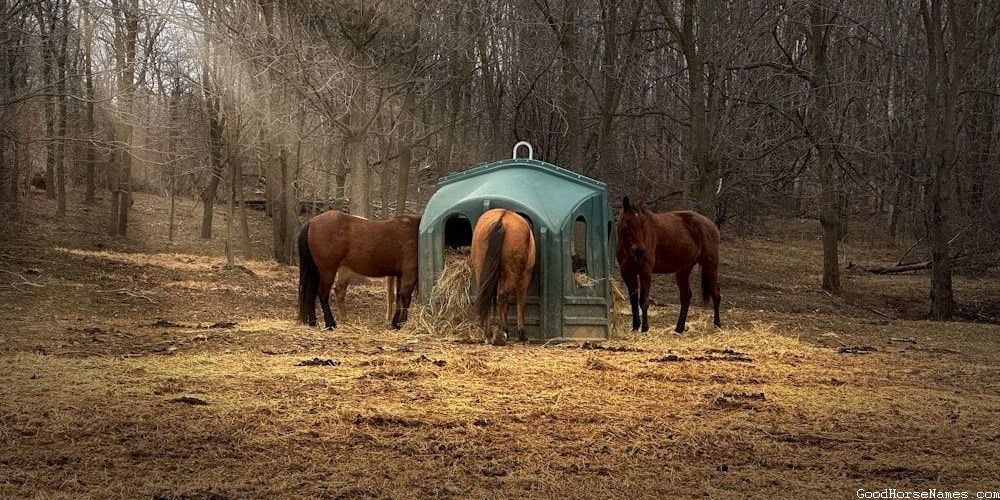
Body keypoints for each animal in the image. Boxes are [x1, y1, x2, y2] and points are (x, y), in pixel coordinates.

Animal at [472, 208, 536, 346]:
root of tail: (501, 219)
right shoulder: (525, 276)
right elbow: (520, 302)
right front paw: (522, 334)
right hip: (513, 272)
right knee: (503, 295)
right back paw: (503, 333)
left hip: (480, 269)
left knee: (486, 297)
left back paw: (488, 335)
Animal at [616, 197, 721, 333]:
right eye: (627, 221)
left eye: (642, 222)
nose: (640, 250)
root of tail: (712, 225)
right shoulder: (627, 273)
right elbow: (633, 300)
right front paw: (635, 327)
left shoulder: (645, 271)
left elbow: (643, 300)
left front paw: (644, 328)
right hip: (684, 270)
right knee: (686, 297)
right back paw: (679, 328)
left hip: (710, 265)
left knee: (716, 294)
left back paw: (717, 325)